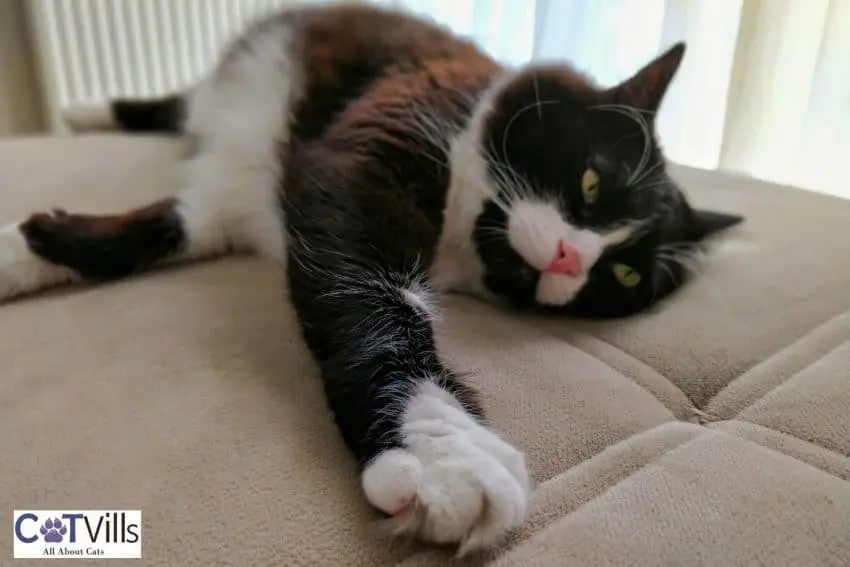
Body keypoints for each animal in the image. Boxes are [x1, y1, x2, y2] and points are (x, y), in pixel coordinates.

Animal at [0, 1, 740, 560]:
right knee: (178, 102)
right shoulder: (363, 160)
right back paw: (87, 111)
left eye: (622, 272)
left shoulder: (228, 207)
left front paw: (27, 247)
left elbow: (150, 231)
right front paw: (445, 451)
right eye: (590, 184)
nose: (567, 260)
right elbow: (374, 302)